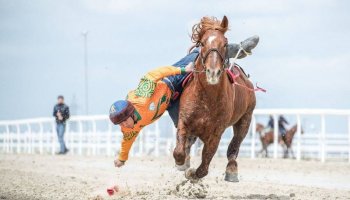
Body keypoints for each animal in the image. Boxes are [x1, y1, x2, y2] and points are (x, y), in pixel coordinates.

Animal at [173, 15, 258, 182]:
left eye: (224, 43)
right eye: (202, 43)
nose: (213, 72)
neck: (207, 98)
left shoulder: (216, 132)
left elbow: (204, 166)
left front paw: (193, 174)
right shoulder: (184, 121)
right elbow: (179, 151)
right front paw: (183, 163)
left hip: (245, 119)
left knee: (234, 146)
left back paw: (232, 169)